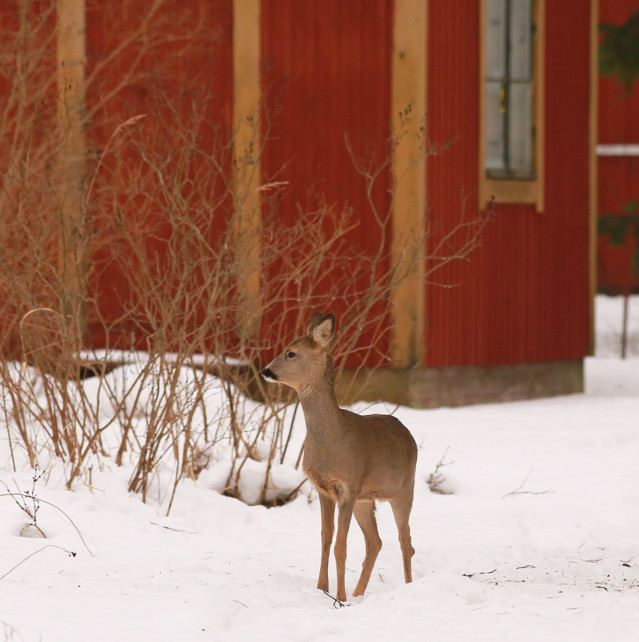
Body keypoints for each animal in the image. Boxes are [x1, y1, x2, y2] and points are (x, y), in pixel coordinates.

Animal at [262, 312, 418, 600]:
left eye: (291, 353)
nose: (266, 370)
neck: (332, 439)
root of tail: (407, 432)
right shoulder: (324, 489)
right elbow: (326, 538)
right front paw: (322, 589)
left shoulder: (348, 487)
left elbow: (341, 546)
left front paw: (340, 597)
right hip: (366, 500)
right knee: (375, 542)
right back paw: (358, 594)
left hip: (404, 489)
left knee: (406, 542)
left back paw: (406, 588)